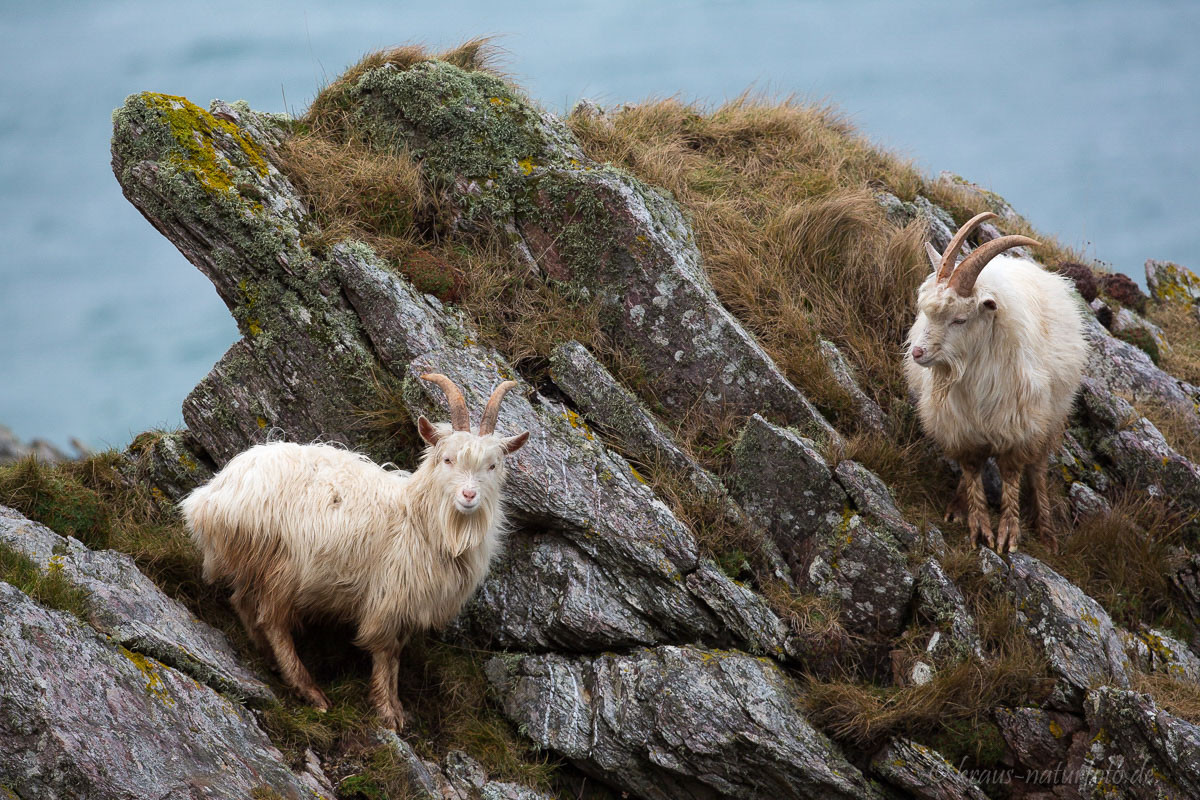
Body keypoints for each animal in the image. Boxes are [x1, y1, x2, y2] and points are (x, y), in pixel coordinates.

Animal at [178, 371, 530, 729]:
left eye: (493, 466)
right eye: (448, 459)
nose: (469, 495)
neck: (418, 518)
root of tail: (211, 498)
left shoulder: (405, 606)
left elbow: (396, 654)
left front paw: (396, 709)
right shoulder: (388, 600)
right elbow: (386, 654)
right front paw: (388, 713)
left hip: (255, 564)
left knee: (243, 604)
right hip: (281, 567)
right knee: (271, 620)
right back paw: (309, 690)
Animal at [907, 211, 1089, 551]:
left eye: (960, 319)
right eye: (926, 313)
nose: (918, 353)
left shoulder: (1018, 424)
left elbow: (1012, 473)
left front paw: (1009, 534)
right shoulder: (958, 425)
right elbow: (971, 469)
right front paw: (977, 526)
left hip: (1051, 416)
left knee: (1038, 467)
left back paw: (1046, 530)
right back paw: (958, 504)